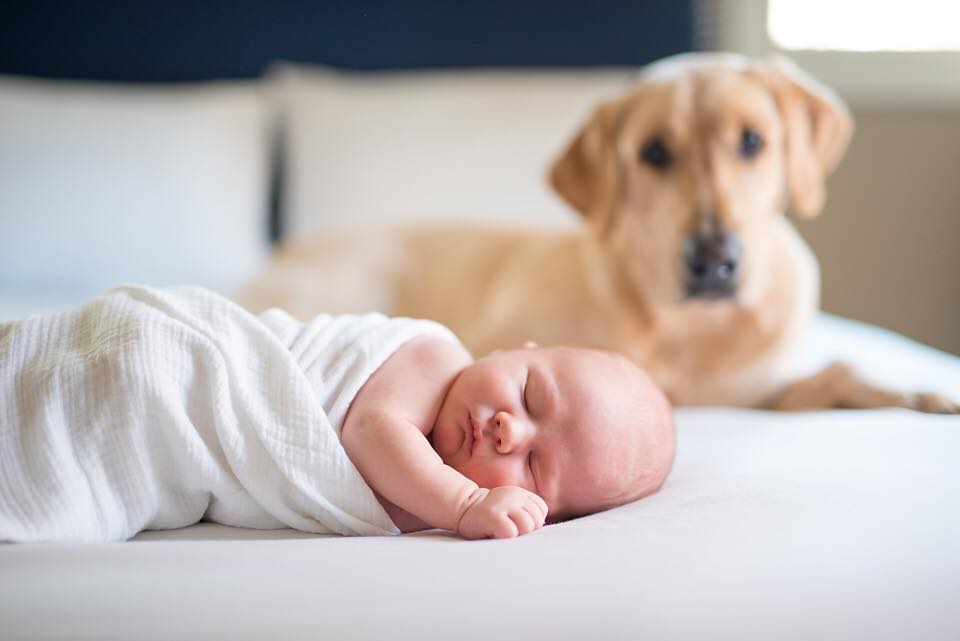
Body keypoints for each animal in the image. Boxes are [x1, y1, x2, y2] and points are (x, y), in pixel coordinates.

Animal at [236, 52, 956, 412]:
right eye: (655, 152)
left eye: (753, 141)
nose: (714, 263)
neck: (679, 330)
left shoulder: (757, 385)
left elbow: (837, 369)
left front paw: (919, 390)